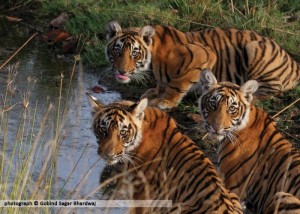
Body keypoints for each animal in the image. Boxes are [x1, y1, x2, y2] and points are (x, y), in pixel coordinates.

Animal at [105, 20, 300, 109]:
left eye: (134, 53)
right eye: (117, 51)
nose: (122, 71)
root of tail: (293, 60)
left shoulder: (203, 54)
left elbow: (177, 83)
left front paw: (165, 101)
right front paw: (154, 92)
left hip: (254, 49)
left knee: (271, 92)